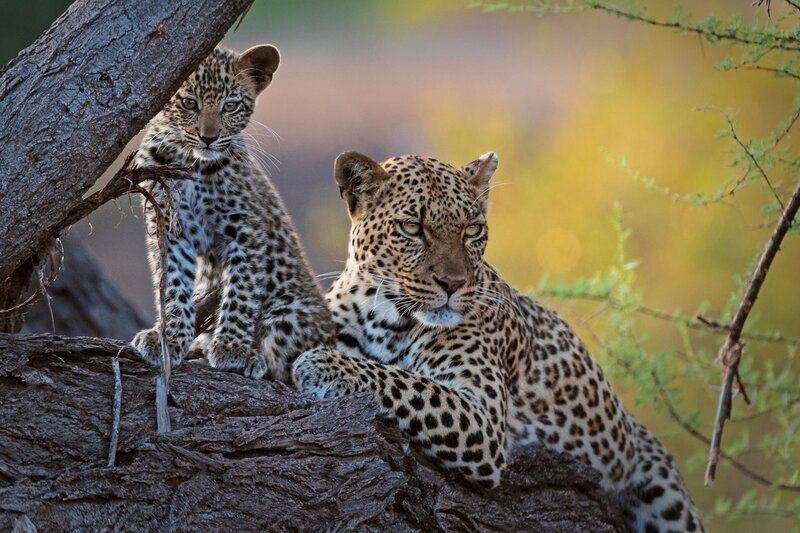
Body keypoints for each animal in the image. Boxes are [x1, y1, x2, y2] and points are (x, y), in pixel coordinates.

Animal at [131, 44, 334, 381]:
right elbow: (172, 286)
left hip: (289, 313)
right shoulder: (169, 229)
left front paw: (232, 348)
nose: (209, 137)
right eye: (189, 103)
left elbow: (241, 290)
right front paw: (169, 338)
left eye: (230, 105)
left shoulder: (246, 229)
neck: (192, 163)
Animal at [292, 151, 703, 532]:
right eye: (412, 228)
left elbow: (404, 381)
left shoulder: (483, 419)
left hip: (666, 497)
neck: (382, 316)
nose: (454, 283)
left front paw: (323, 366)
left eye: (473, 230)